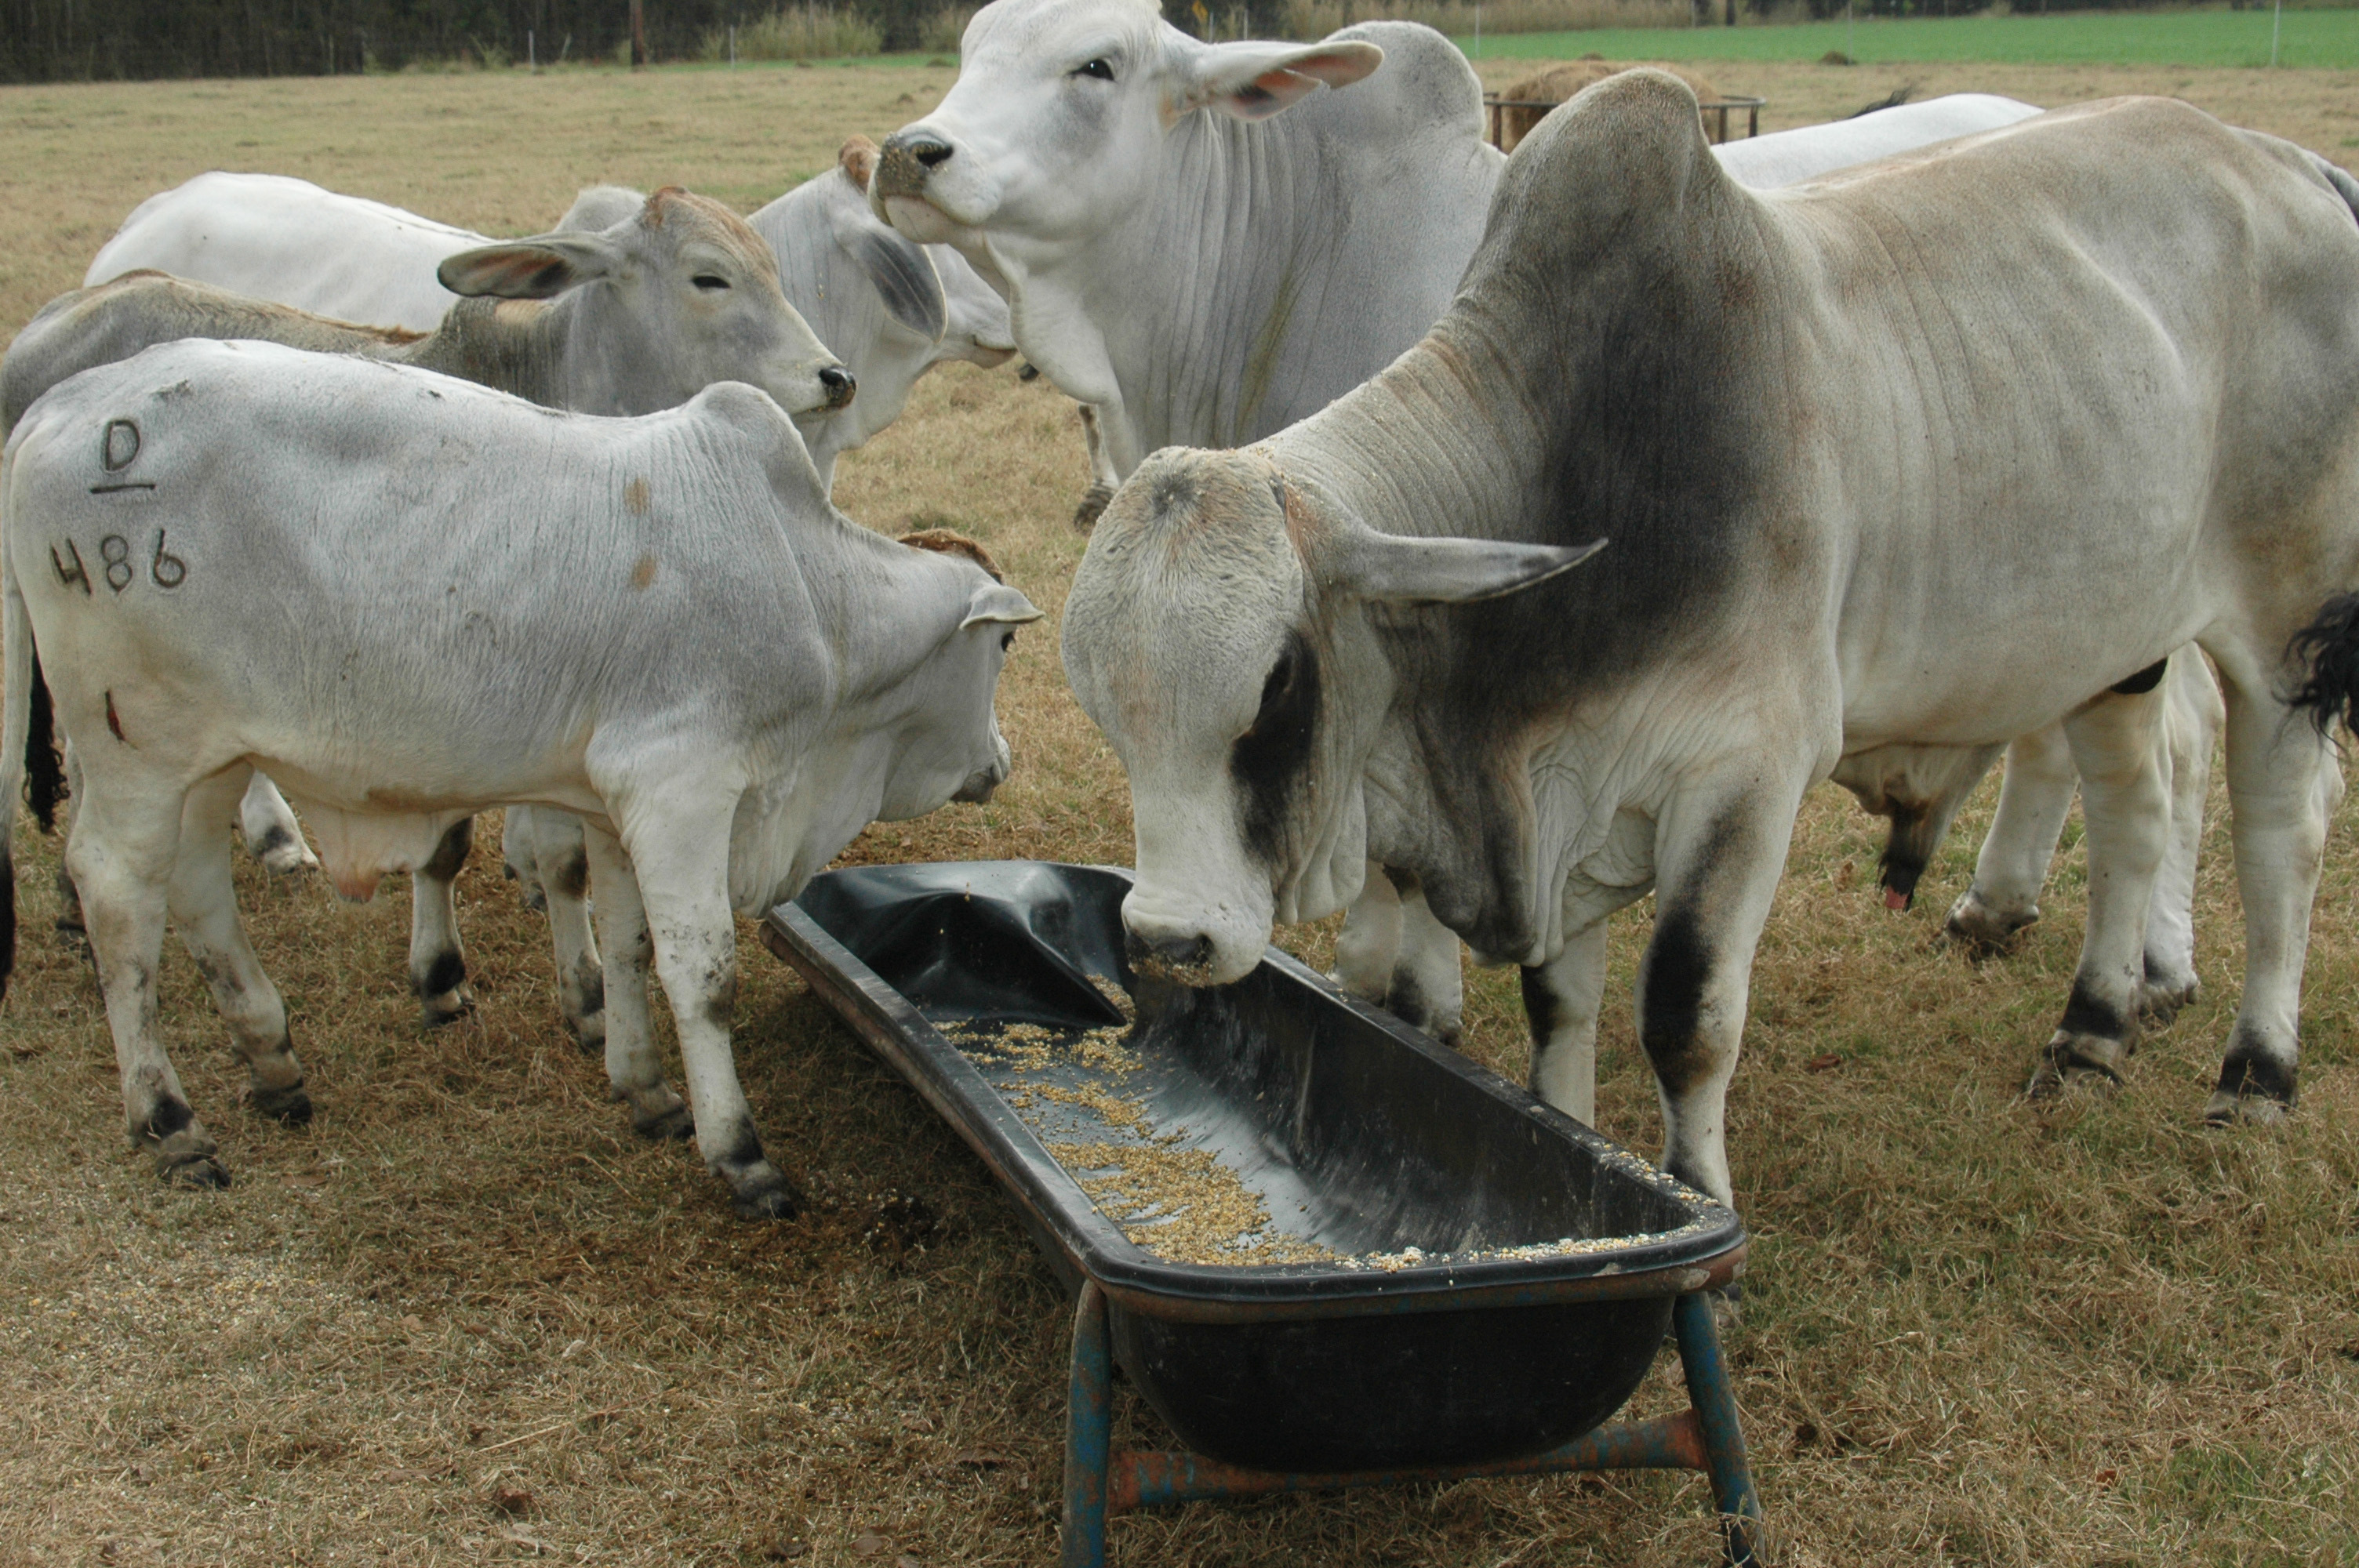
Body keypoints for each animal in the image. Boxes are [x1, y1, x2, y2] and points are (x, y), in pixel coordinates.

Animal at [0, 339, 1041, 1212]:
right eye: (1000, 651)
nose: (999, 759)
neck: (810, 589)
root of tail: (60, 406)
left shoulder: (616, 808)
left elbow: (625, 945)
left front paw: (644, 1086)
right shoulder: (682, 787)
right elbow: (702, 975)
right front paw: (739, 1151)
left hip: (209, 752)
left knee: (196, 886)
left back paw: (271, 1060)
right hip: (134, 748)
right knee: (116, 893)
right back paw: (170, 1119)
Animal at [1058, 77, 2359, 1209]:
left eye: (1276, 687)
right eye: (1107, 715)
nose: (1166, 936)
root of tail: (2292, 165)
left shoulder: (1749, 773)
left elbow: (1685, 1015)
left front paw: (1697, 1194)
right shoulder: (1571, 794)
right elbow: (1558, 1004)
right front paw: (1578, 1146)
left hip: (2286, 627)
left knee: (2281, 831)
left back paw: (2256, 1073)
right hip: (2116, 643)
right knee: (2135, 806)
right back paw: (2091, 1032)